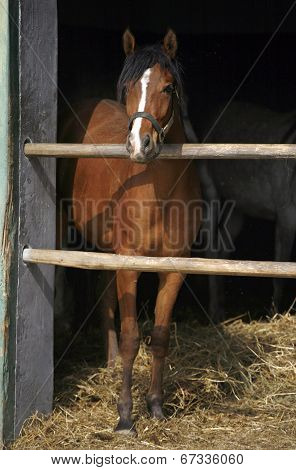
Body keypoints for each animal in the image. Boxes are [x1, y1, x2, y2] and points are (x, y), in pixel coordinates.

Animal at [57, 29, 201, 434]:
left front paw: (155, 406)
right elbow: (132, 338)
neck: (159, 194)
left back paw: (106, 363)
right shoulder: (130, 265)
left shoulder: (174, 268)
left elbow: (160, 337)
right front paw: (124, 416)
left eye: (168, 87)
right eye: (127, 88)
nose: (140, 145)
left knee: (104, 296)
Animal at [198, 102, 296, 324]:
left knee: (223, 249)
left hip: (239, 206)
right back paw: (214, 314)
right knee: (211, 248)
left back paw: (222, 310)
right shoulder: (286, 214)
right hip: (210, 187)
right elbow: (280, 270)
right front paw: (274, 315)